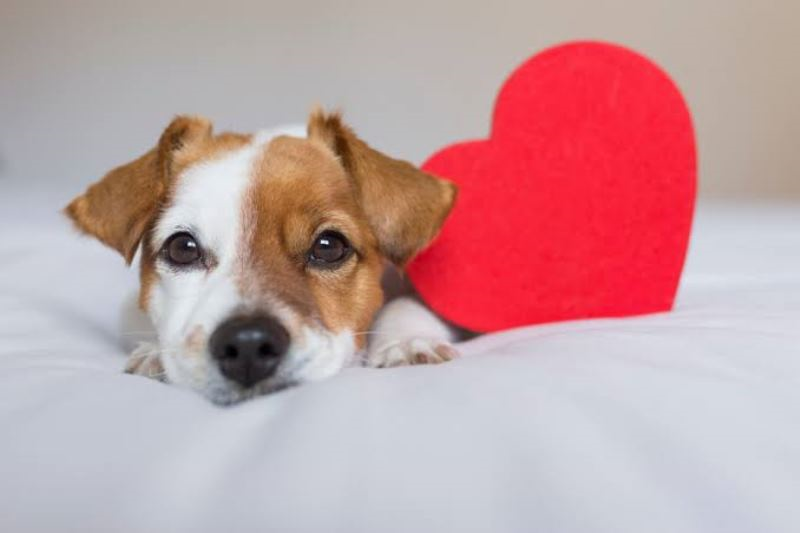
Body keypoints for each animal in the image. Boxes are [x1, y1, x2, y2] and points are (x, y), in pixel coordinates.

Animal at [66, 111, 466, 404]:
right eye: (182, 248)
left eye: (329, 246)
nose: (248, 345)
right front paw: (154, 354)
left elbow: (406, 305)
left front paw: (408, 342)